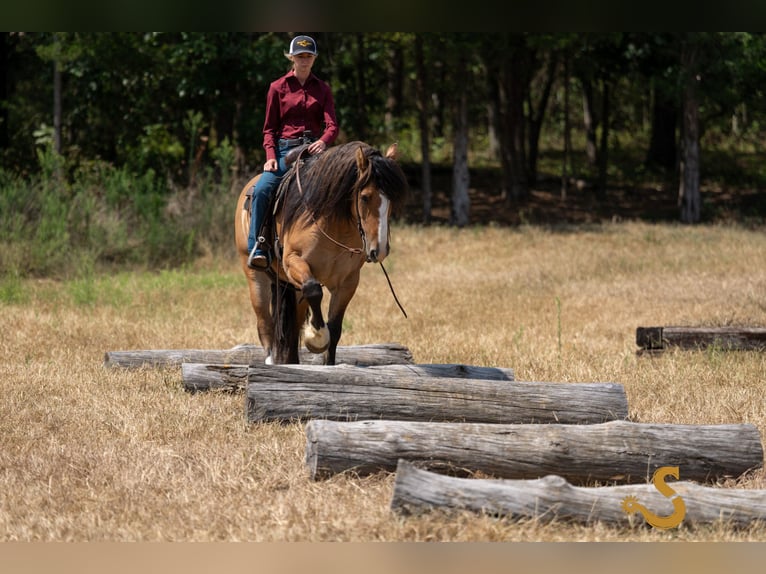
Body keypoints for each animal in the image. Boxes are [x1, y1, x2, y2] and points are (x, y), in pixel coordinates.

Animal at [234, 141, 409, 365]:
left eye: (392, 200)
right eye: (365, 197)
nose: (379, 250)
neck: (332, 223)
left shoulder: (347, 282)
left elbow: (334, 329)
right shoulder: (293, 262)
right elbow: (314, 290)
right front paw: (316, 336)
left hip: (292, 287)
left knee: (292, 330)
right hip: (256, 278)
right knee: (265, 324)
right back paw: (270, 361)